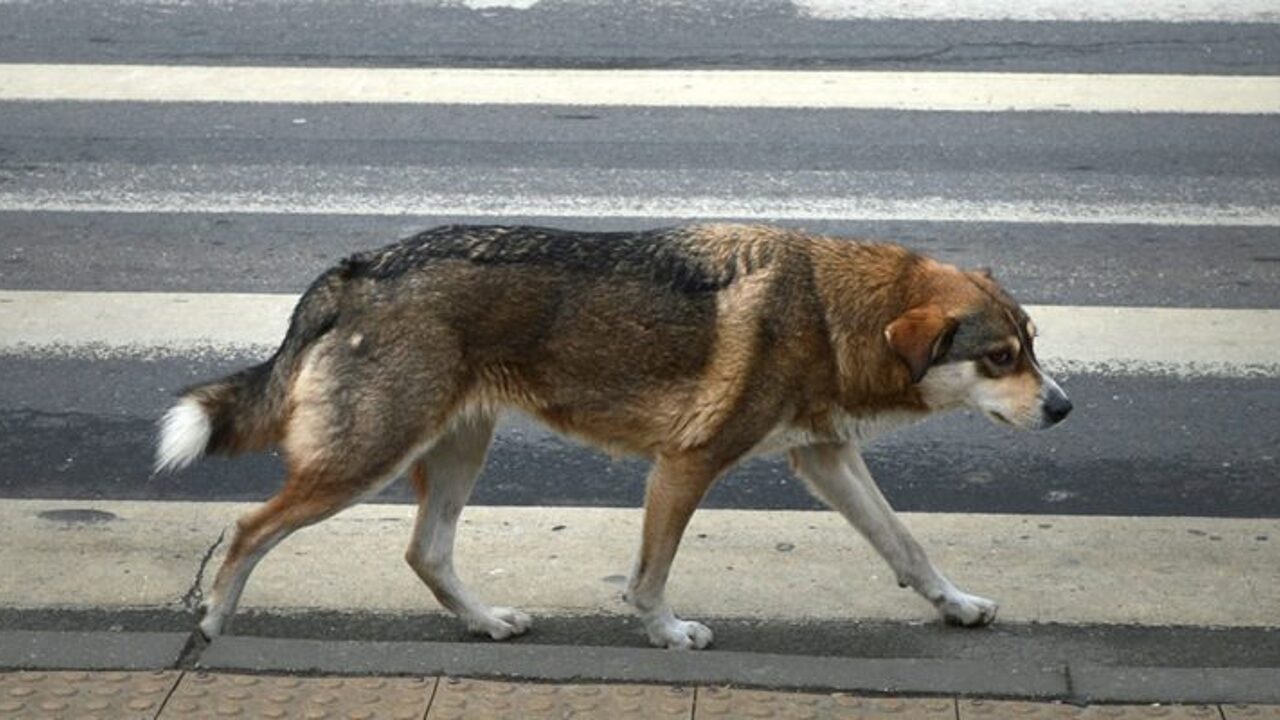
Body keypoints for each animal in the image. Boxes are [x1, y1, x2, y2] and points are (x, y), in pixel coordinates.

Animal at [154, 222, 1070, 645]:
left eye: (1033, 345)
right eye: (999, 357)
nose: (1064, 409)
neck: (822, 307)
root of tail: (358, 266)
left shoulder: (825, 457)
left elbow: (908, 547)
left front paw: (957, 605)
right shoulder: (684, 466)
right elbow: (649, 577)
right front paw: (667, 634)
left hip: (455, 453)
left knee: (426, 553)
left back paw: (486, 623)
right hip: (366, 462)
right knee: (248, 529)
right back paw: (211, 625)